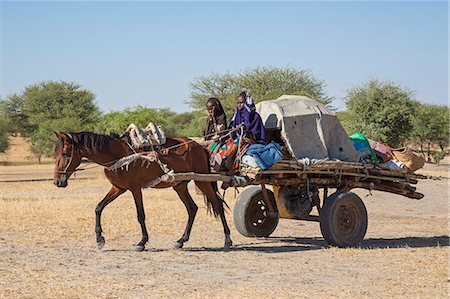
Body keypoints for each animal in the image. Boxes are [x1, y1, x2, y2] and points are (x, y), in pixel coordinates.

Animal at [52, 132, 232, 252]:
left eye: (66, 154)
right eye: (55, 154)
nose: (57, 181)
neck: (117, 155)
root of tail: (198, 146)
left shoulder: (134, 189)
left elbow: (140, 215)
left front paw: (142, 242)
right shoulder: (118, 188)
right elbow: (98, 208)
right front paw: (99, 239)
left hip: (203, 181)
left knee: (217, 204)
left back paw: (227, 240)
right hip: (179, 185)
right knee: (192, 208)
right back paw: (181, 241)